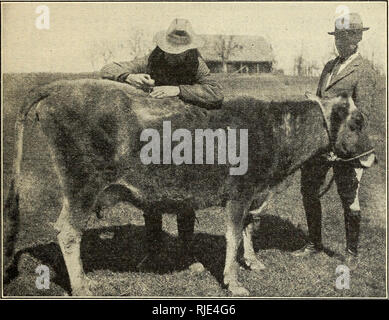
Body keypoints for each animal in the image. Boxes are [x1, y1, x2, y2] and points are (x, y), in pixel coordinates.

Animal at [3, 79, 372, 296]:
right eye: (357, 122)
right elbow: (233, 235)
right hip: (83, 186)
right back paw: (81, 286)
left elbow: (250, 228)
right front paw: (233, 281)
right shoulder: (240, 192)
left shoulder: (257, 193)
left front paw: (253, 262)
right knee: (68, 232)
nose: (372, 158)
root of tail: (62, 85)